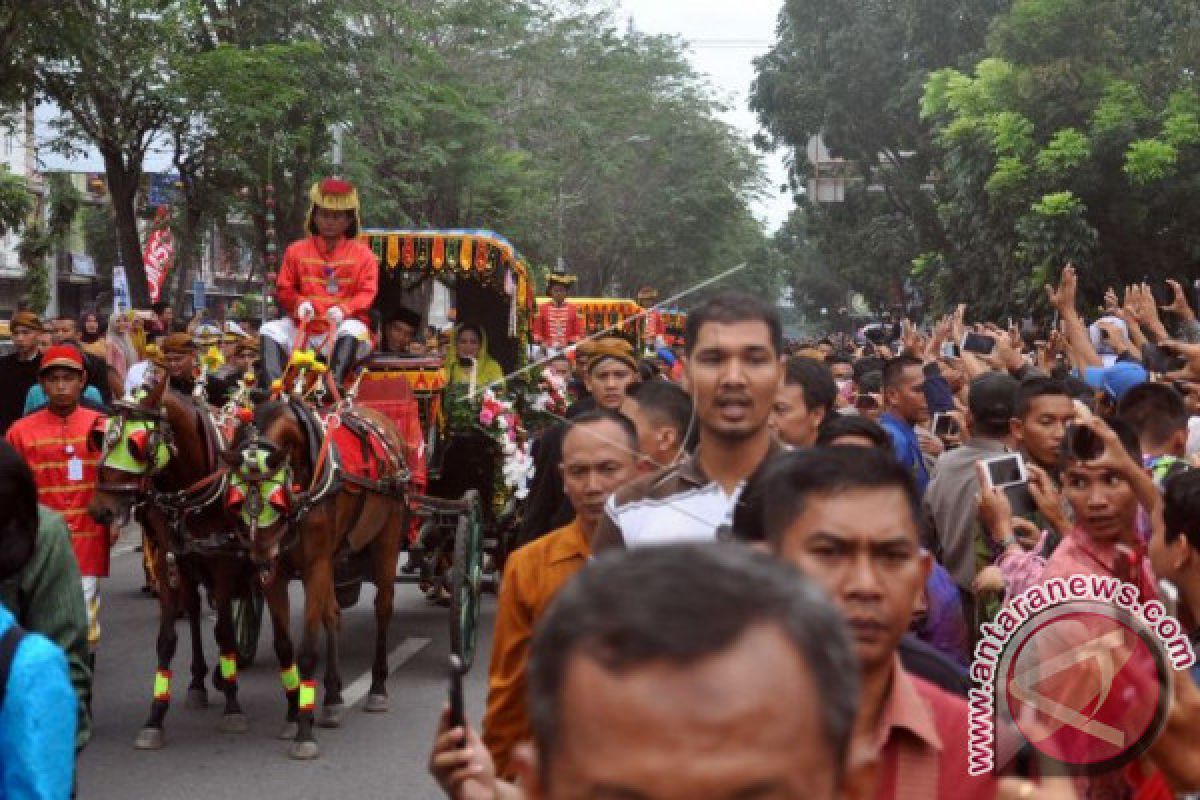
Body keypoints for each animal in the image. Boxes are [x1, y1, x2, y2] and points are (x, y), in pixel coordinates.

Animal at [88, 376, 262, 753]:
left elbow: (224, 631)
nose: (100, 510)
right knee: (194, 609)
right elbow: (167, 638)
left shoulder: (223, 562)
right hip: (188, 562)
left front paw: (233, 705)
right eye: (102, 437)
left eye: (135, 444)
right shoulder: (171, 555)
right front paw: (155, 716)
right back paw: (197, 682)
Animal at [224, 398, 408, 762]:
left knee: (383, 608)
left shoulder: (315, 565)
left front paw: (305, 732)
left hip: (387, 537)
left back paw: (377, 687)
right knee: (333, 615)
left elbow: (307, 650)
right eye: (236, 499)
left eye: (275, 498)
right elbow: (285, 648)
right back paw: (333, 697)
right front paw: (294, 713)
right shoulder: (278, 575)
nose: (260, 556)